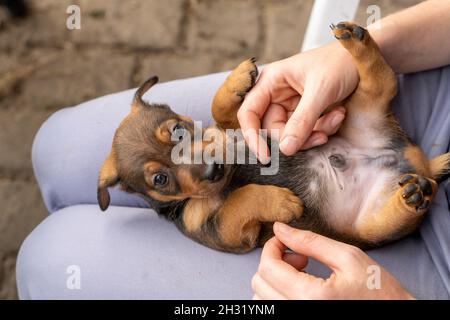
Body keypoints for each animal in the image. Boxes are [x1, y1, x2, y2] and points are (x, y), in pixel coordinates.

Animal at [97, 22, 450, 252]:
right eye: (160, 180)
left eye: (177, 130)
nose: (213, 170)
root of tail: (415, 160)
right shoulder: (226, 231)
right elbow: (240, 200)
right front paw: (280, 202)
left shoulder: (239, 127)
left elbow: (220, 109)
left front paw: (237, 81)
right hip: (370, 223)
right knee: (398, 212)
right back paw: (414, 194)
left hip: (364, 111)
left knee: (383, 79)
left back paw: (357, 41)